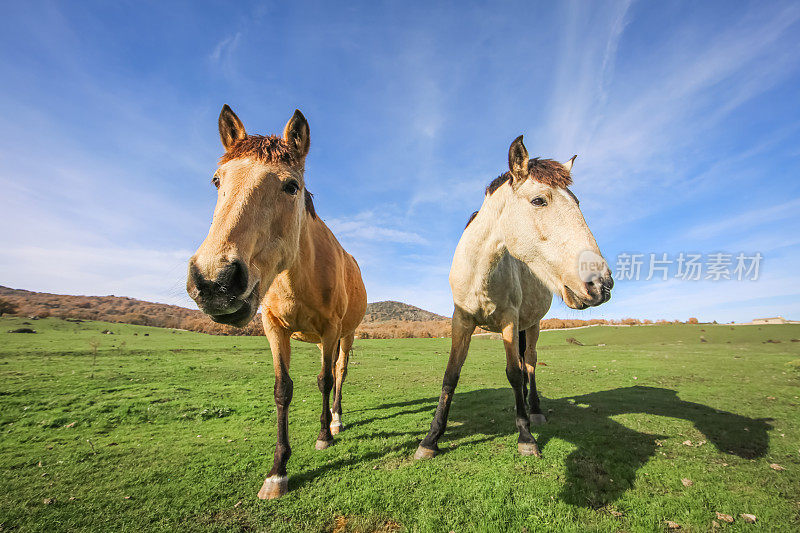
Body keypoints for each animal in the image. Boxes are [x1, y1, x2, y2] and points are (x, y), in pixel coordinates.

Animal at [186, 105, 368, 498]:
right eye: (216, 181)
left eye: (291, 186)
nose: (214, 281)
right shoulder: (273, 328)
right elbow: (282, 390)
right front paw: (277, 472)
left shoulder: (331, 329)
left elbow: (326, 380)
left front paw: (323, 436)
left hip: (346, 335)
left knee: (339, 372)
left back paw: (336, 420)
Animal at [412, 135, 612, 460]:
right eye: (539, 200)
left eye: (578, 203)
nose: (602, 284)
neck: (481, 272)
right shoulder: (461, 320)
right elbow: (451, 375)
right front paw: (431, 439)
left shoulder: (510, 320)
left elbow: (515, 374)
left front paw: (526, 436)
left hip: (532, 326)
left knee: (529, 363)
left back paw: (535, 411)